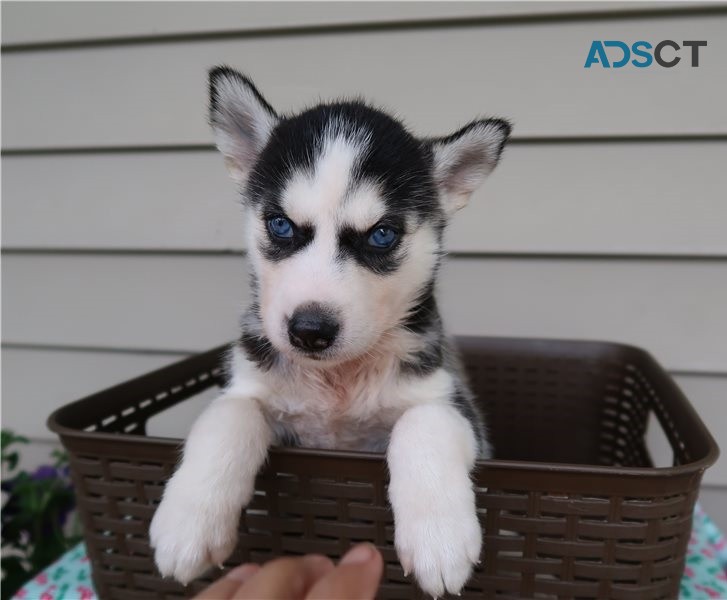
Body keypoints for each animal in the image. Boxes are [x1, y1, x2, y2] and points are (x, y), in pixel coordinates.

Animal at [149, 67, 512, 596]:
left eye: (381, 234)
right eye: (281, 225)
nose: (310, 330)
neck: (336, 383)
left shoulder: (447, 399)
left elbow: (422, 424)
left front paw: (438, 539)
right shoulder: (250, 385)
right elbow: (227, 417)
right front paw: (187, 524)